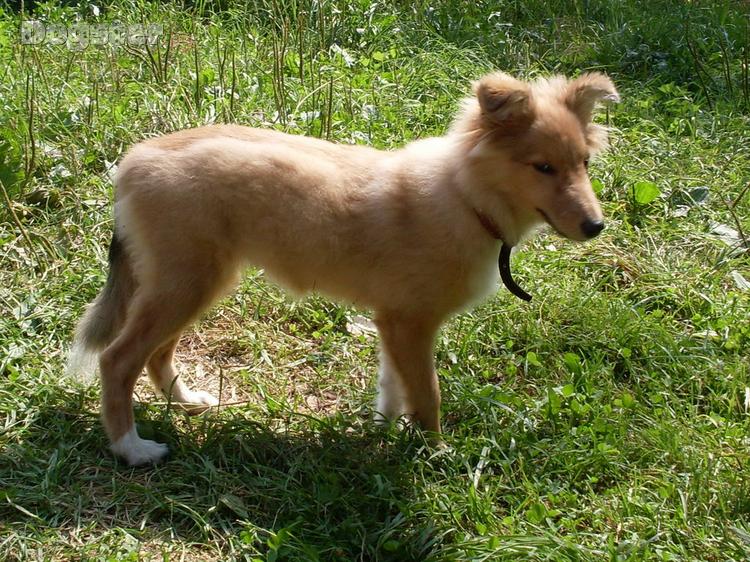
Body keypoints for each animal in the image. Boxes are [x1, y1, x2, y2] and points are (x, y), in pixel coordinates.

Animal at [68, 71, 618, 465]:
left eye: (584, 163)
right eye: (542, 167)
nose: (596, 226)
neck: (465, 198)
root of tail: (134, 160)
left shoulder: (394, 323)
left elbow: (395, 388)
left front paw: (383, 434)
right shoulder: (411, 323)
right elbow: (429, 394)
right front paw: (435, 455)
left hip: (191, 282)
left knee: (157, 353)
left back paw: (186, 403)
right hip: (184, 283)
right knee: (118, 360)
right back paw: (132, 449)